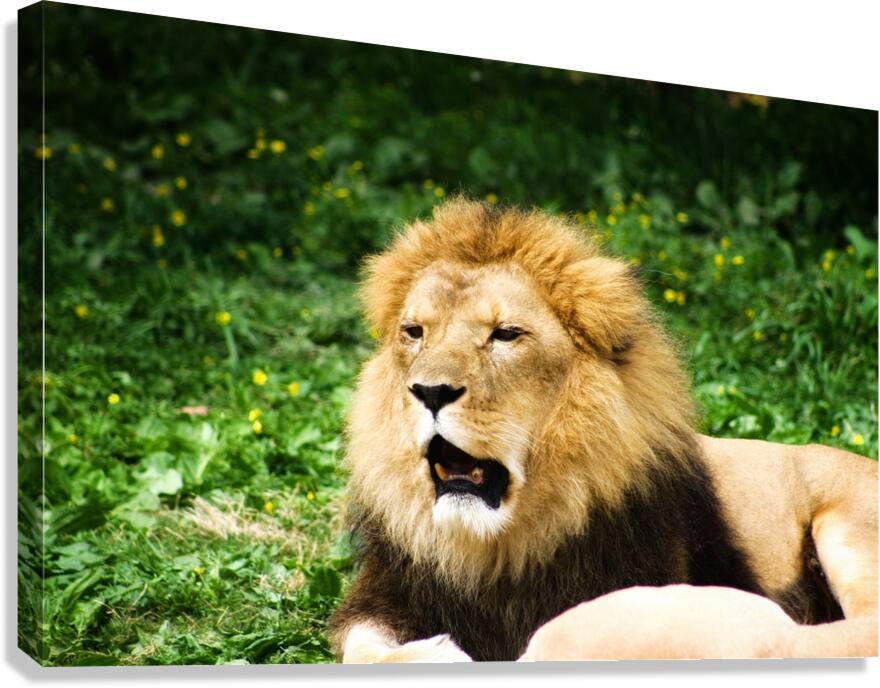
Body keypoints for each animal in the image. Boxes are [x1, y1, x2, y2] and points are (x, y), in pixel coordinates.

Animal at [329, 198, 877, 662]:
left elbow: (564, 634)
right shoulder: (389, 596)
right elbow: (360, 646)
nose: (430, 391)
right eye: (414, 332)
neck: (496, 550)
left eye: (505, 335)